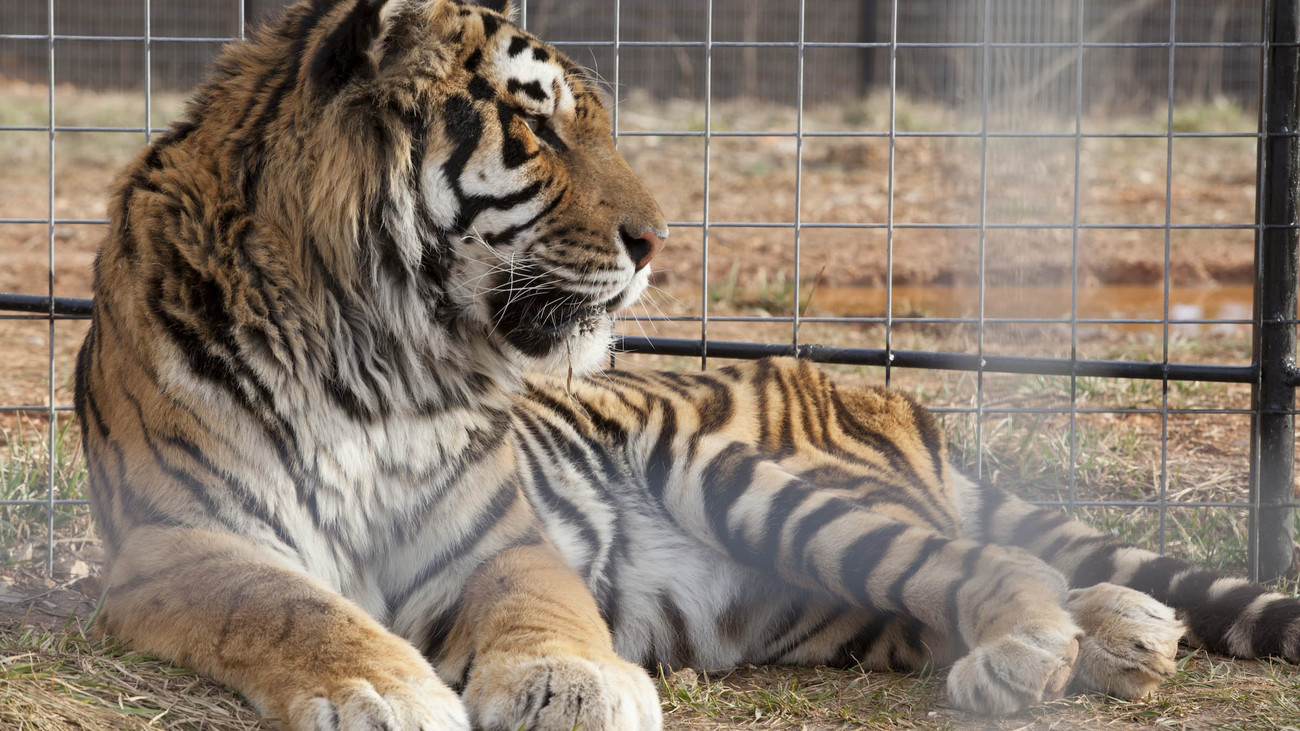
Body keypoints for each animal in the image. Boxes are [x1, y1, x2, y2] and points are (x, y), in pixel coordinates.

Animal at [73, 0, 1300, 723]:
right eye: (539, 128)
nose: (658, 241)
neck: (378, 346)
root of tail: (867, 389)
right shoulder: (181, 539)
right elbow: (289, 608)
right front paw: (385, 690)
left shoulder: (496, 534)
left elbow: (538, 605)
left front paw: (575, 681)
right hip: (828, 596)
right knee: (971, 578)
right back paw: (1123, 637)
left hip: (770, 483)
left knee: (993, 560)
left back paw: (1055, 651)